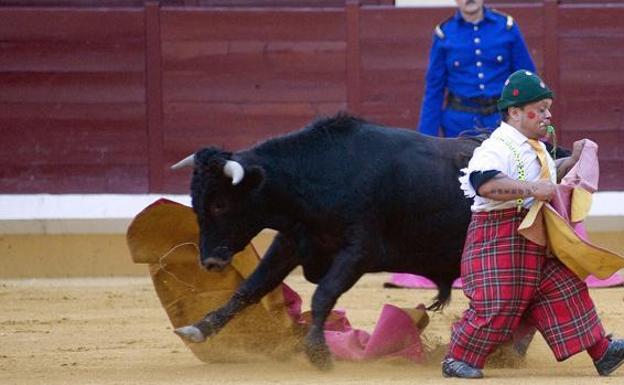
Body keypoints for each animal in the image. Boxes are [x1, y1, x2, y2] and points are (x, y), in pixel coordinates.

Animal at [172, 115, 488, 368]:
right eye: (195, 201)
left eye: (220, 204)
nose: (210, 261)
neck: (322, 175)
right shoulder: (291, 243)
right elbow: (250, 288)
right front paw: (200, 328)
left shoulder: (360, 250)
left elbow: (323, 294)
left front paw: (318, 352)